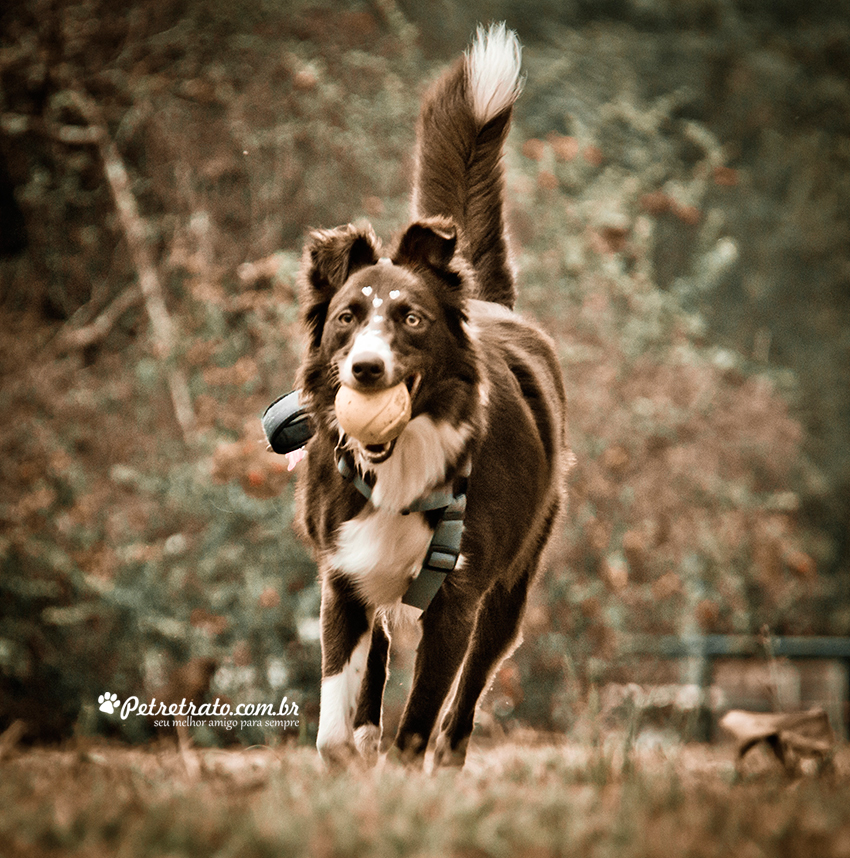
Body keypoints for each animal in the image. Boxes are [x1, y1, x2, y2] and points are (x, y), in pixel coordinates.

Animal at [294, 23, 568, 764]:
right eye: (346, 318)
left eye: (411, 319)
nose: (365, 370)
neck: (404, 464)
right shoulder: (342, 576)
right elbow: (334, 725)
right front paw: (349, 753)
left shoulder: (461, 596)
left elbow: (417, 722)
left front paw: (407, 766)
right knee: (378, 661)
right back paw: (368, 731)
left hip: (514, 583)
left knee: (471, 685)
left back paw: (450, 753)